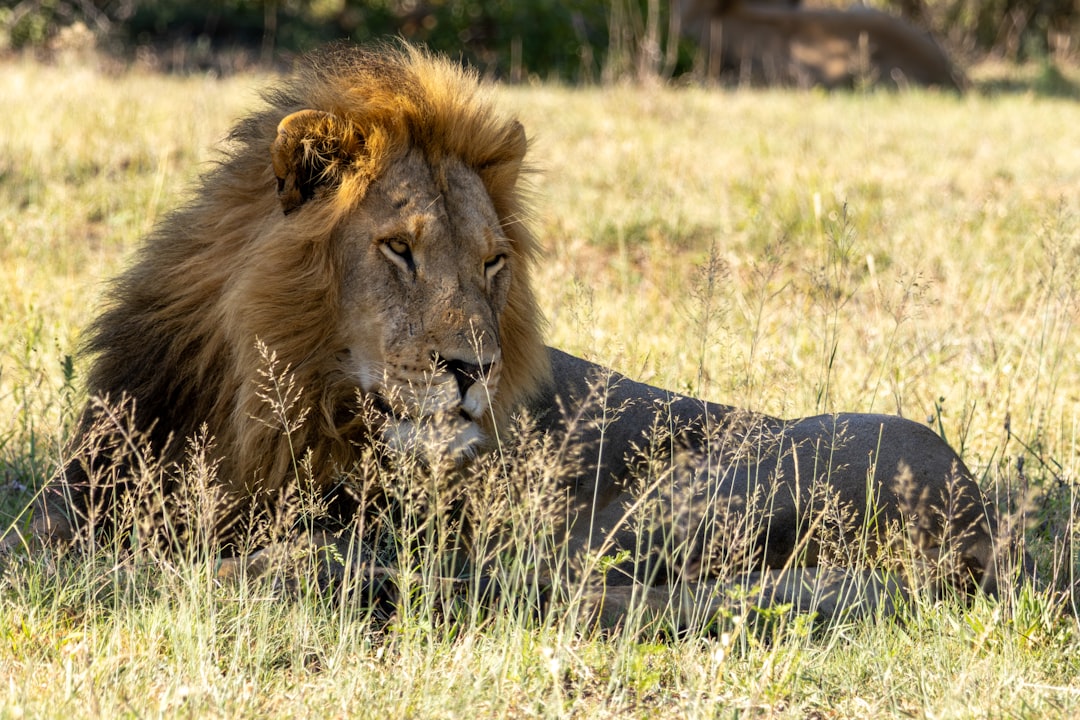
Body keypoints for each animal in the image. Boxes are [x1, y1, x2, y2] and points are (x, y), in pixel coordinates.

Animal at [22, 42, 1007, 626]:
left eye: (494, 263)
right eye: (399, 249)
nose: (475, 369)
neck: (253, 406)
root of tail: (977, 521)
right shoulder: (82, 490)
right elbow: (41, 546)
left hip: (660, 505)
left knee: (555, 579)